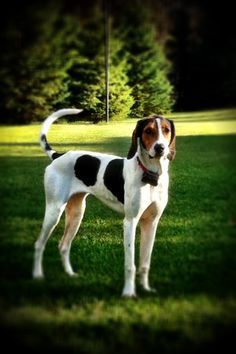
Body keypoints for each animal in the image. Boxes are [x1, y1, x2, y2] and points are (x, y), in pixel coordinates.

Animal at [32, 109, 175, 298]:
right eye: (148, 131)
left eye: (166, 130)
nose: (160, 148)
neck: (150, 175)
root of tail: (59, 156)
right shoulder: (130, 223)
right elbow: (130, 265)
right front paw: (128, 293)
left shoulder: (151, 223)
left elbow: (145, 263)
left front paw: (146, 288)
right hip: (54, 212)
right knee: (39, 244)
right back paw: (37, 275)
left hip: (77, 213)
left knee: (63, 245)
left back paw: (70, 274)